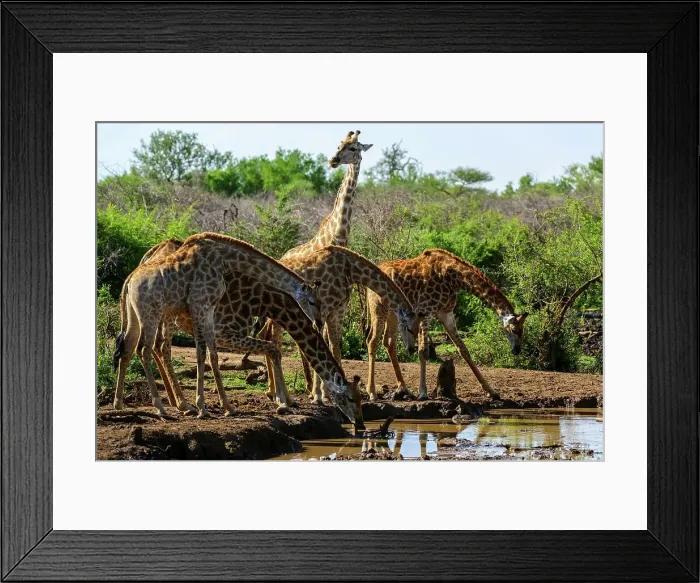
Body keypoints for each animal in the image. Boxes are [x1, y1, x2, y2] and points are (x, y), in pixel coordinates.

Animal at [125, 238, 365, 427]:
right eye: (350, 399)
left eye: (361, 398)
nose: (360, 424)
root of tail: (130, 277)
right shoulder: (216, 322)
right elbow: (267, 349)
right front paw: (282, 402)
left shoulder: (209, 315)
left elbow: (213, 354)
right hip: (156, 314)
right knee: (149, 348)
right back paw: (167, 406)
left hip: (144, 316)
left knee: (133, 346)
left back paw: (143, 404)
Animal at [262, 245, 423, 403]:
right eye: (408, 328)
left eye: (417, 330)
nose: (411, 349)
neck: (349, 270)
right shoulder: (323, 308)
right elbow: (321, 343)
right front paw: (317, 395)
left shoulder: (337, 309)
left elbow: (335, 346)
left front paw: (330, 393)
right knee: (275, 341)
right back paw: (281, 396)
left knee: (269, 338)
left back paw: (275, 393)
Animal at [365, 249, 529, 401]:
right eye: (514, 330)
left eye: (522, 331)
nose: (517, 350)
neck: (454, 277)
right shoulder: (425, 311)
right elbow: (423, 351)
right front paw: (423, 393)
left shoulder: (446, 314)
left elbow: (463, 350)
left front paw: (492, 391)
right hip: (378, 308)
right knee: (372, 341)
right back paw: (372, 392)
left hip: (393, 313)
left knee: (389, 342)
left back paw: (404, 389)